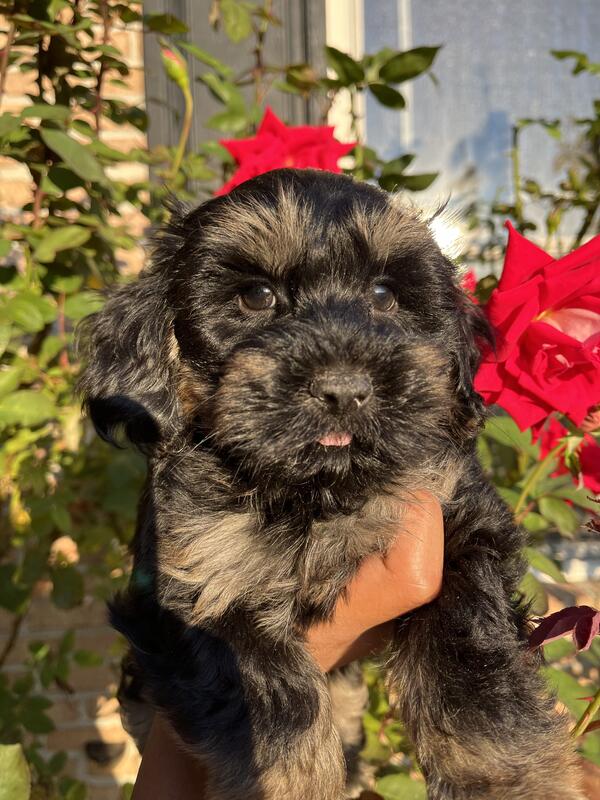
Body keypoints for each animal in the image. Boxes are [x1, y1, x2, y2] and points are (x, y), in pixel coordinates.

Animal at [78, 168, 583, 799]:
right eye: (257, 296)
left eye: (384, 296)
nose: (345, 389)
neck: (317, 492)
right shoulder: (196, 576)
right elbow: (272, 692)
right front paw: (294, 781)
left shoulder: (459, 523)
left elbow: (471, 649)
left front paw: (508, 776)